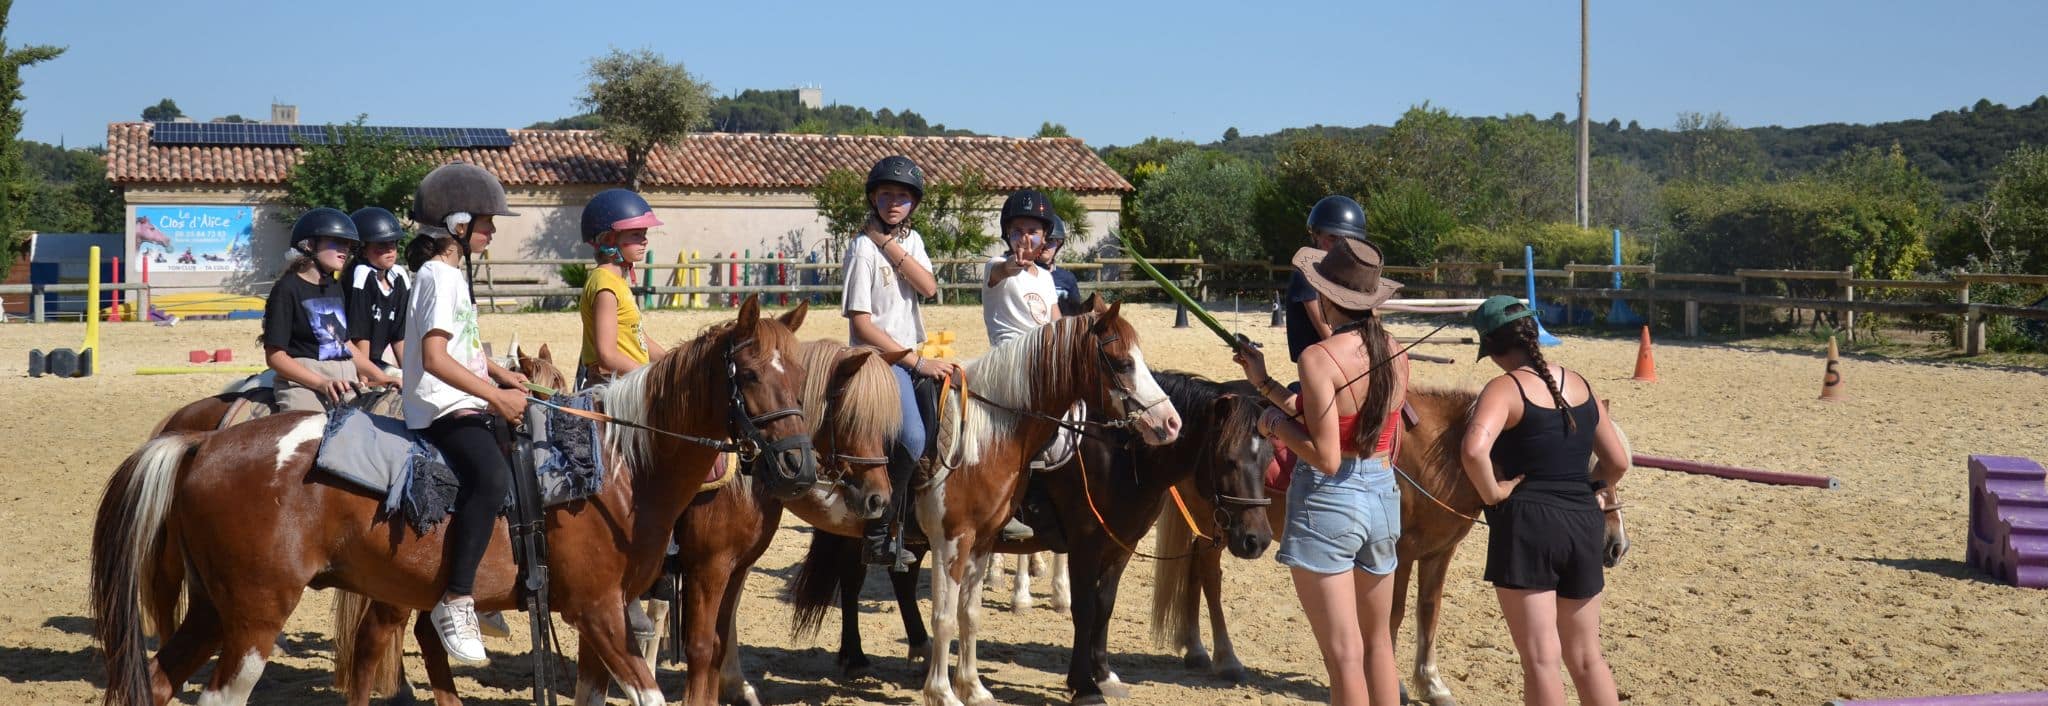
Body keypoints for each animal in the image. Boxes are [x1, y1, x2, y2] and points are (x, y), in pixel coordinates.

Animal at [88, 294, 811, 699]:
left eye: (802, 373)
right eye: (748, 374)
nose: (797, 463)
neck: (615, 470)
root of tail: (201, 444)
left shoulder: (609, 612)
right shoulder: (602, 608)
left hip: (217, 609)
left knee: (158, 682)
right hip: (254, 617)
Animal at [790, 370, 1269, 699]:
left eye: (1269, 459)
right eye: (1228, 459)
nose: (1257, 540)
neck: (1119, 456)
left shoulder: (1120, 547)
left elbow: (1105, 607)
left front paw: (1104, 673)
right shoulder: (1084, 545)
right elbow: (1085, 610)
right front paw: (1083, 684)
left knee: (902, 578)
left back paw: (920, 649)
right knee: (852, 580)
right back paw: (854, 656)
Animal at [1155, 384, 1630, 703]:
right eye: (1590, 472)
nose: (1616, 546)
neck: (1439, 457)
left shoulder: (1439, 553)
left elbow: (1428, 611)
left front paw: (1432, 683)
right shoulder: (1397, 554)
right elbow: (1394, 614)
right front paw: (1397, 684)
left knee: (1194, 572)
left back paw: (1195, 648)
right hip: (1221, 525)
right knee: (1210, 577)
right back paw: (1224, 656)